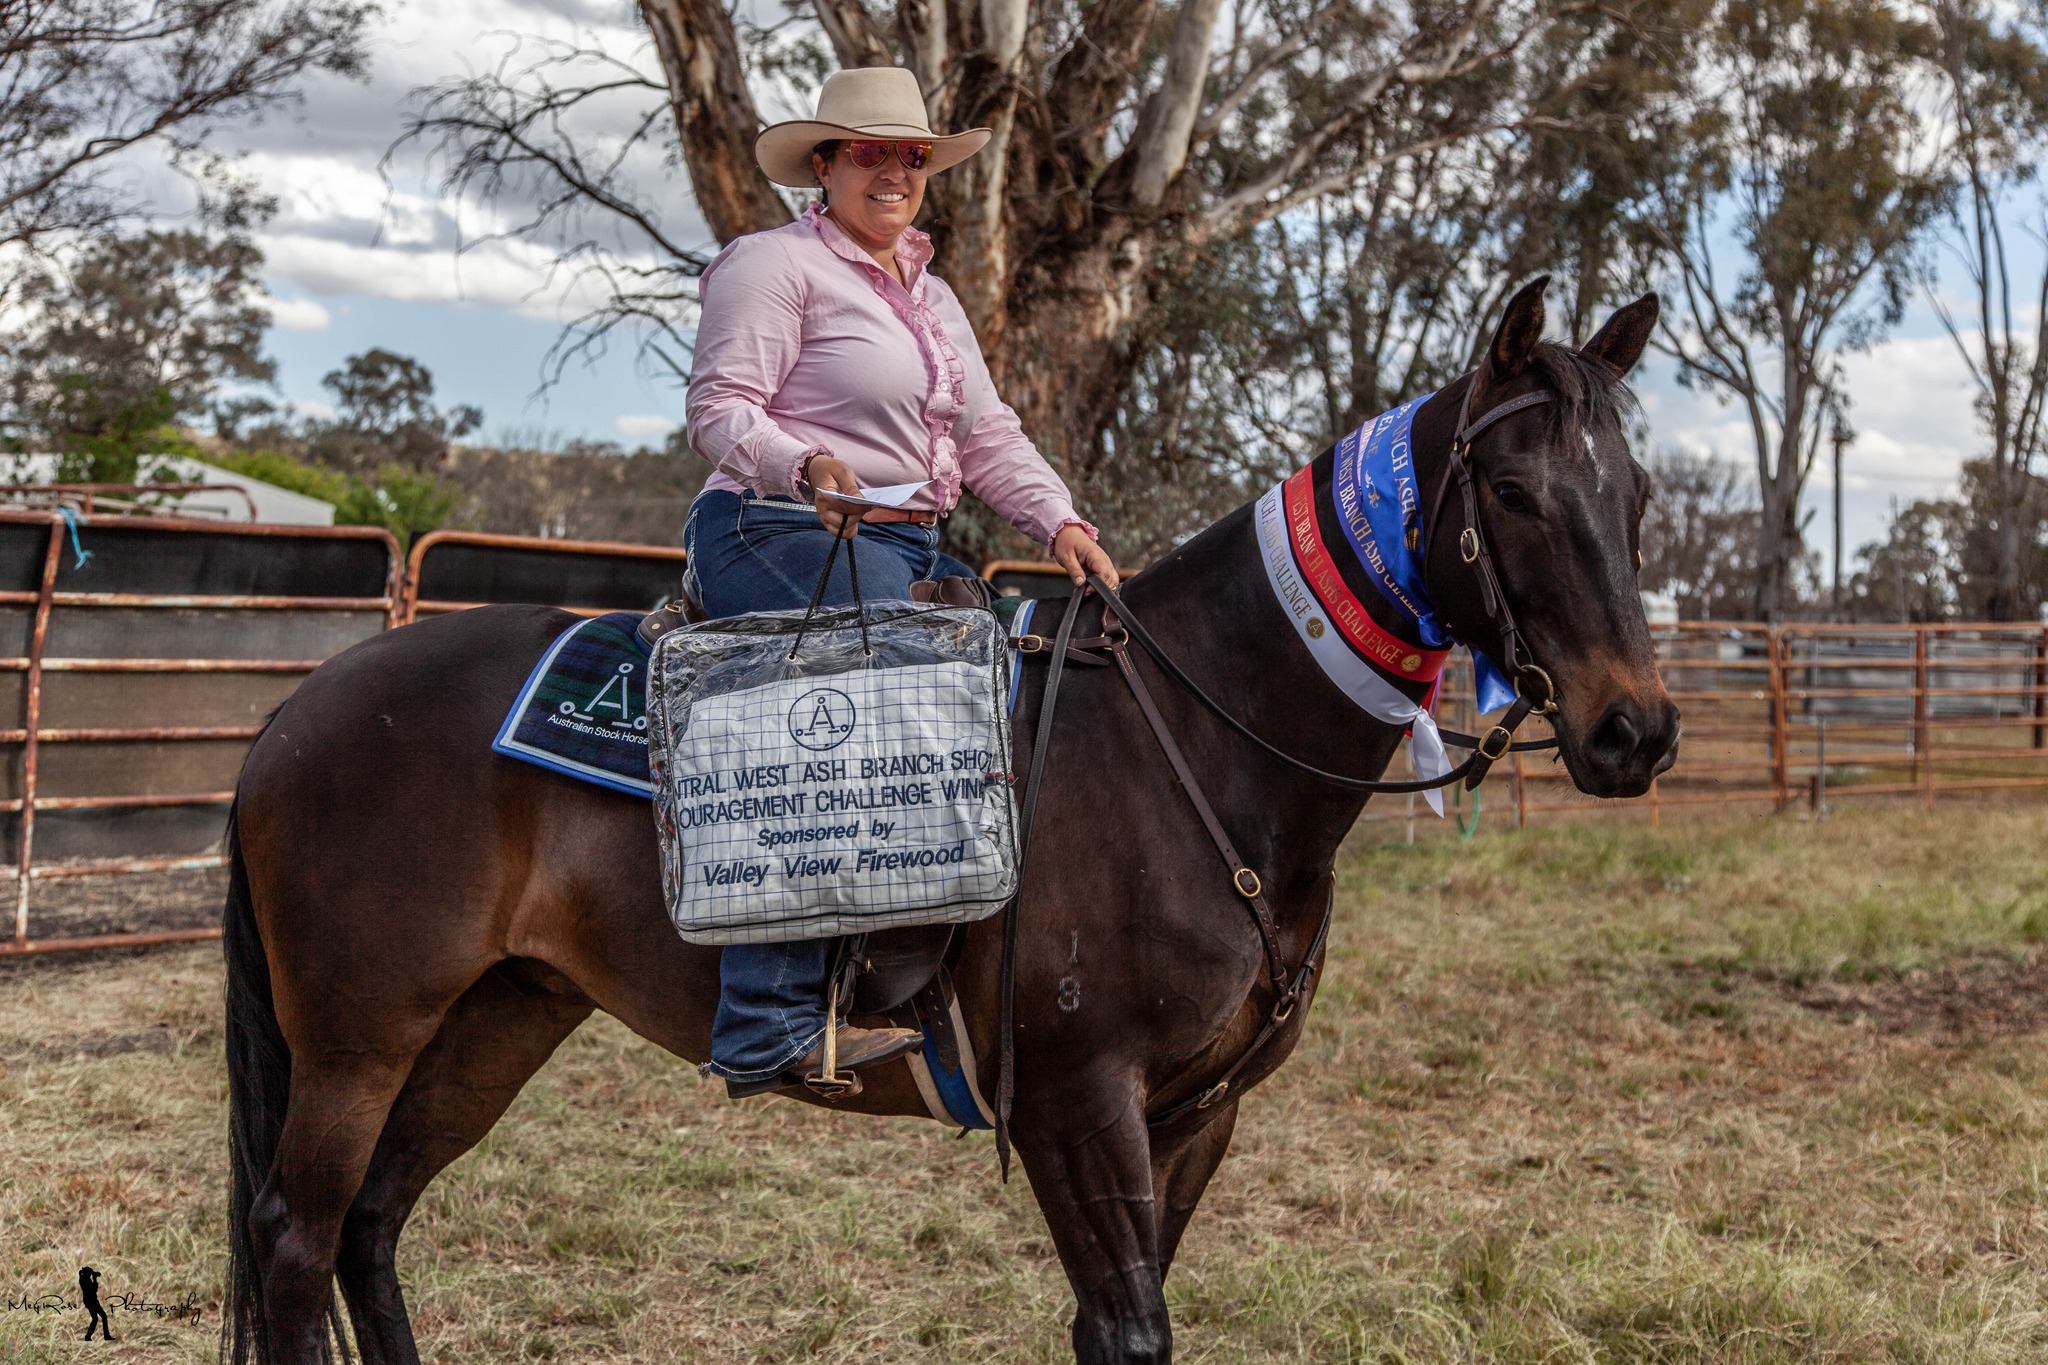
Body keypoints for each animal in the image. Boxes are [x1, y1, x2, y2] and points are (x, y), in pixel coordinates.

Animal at [220, 276, 1678, 1365]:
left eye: (1637, 498)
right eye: (1514, 494)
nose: (1636, 731)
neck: (1189, 746)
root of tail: (297, 714)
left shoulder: (1198, 1117)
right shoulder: (1079, 1107)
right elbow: (1129, 1330)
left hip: (497, 1016)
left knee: (370, 1226)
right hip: (359, 1038)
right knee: (297, 1238)